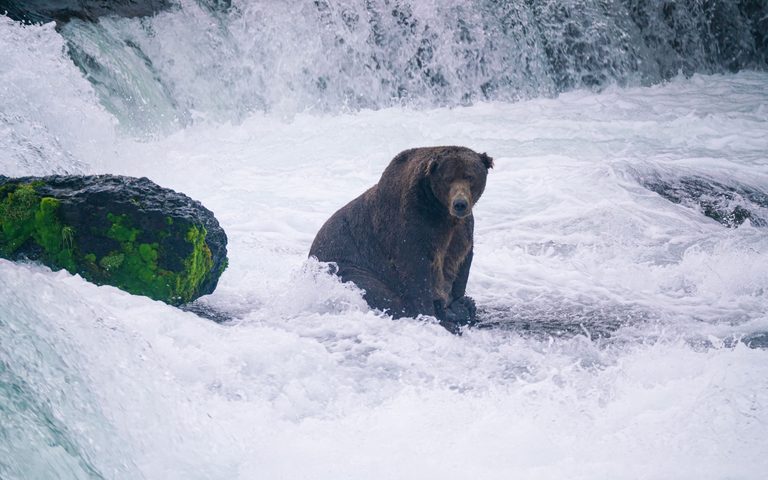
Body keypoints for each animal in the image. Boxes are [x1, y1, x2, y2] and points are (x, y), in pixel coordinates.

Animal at [309, 146, 493, 333]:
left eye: (470, 177)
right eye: (448, 178)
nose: (460, 204)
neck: (440, 211)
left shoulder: (460, 232)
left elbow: (461, 262)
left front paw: (457, 304)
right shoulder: (411, 226)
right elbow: (415, 271)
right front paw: (433, 316)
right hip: (347, 264)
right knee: (374, 290)